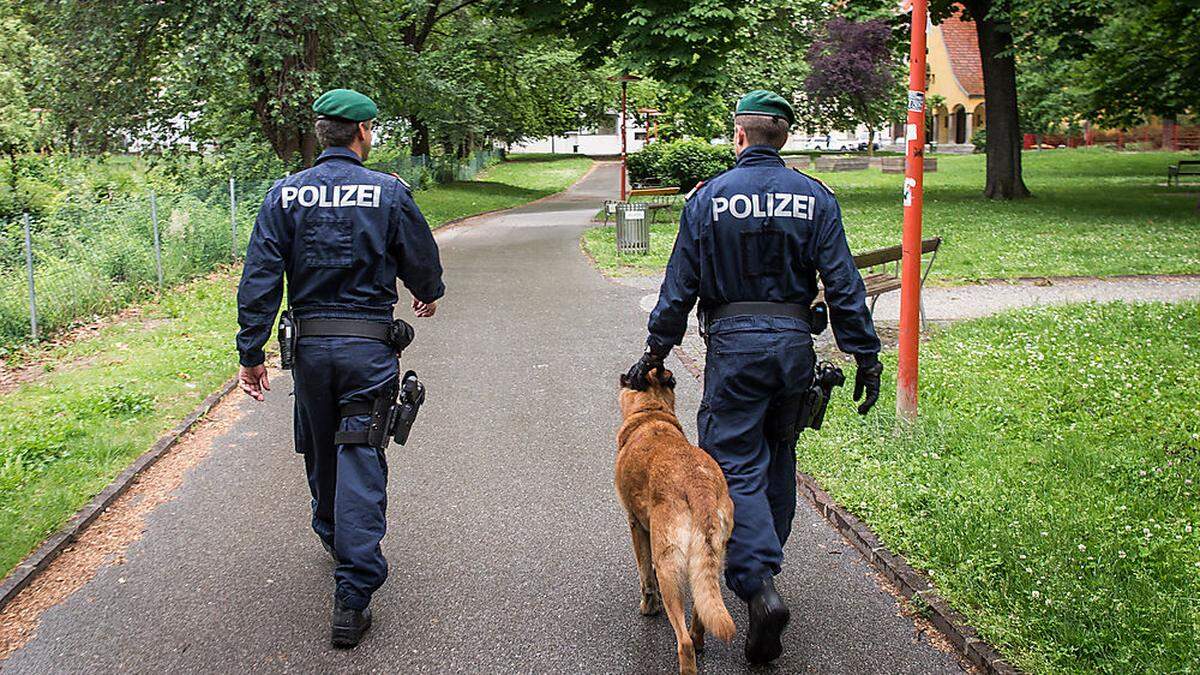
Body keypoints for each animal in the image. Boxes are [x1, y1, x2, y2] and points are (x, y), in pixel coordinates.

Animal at [619, 367, 739, 672]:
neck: (651, 414)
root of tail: (698, 485)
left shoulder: (636, 526)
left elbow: (645, 574)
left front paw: (649, 607)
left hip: (669, 566)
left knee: (682, 641)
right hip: (708, 562)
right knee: (701, 611)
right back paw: (699, 640)